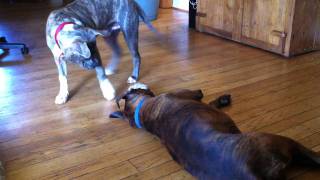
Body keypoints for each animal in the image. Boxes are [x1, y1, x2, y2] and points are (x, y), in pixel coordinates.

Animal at [110, 83, 320, 180]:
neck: (143, 112)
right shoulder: (193, 94)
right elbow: (202, 95)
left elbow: (212, 103)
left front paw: (222, 100)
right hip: (285, 143)